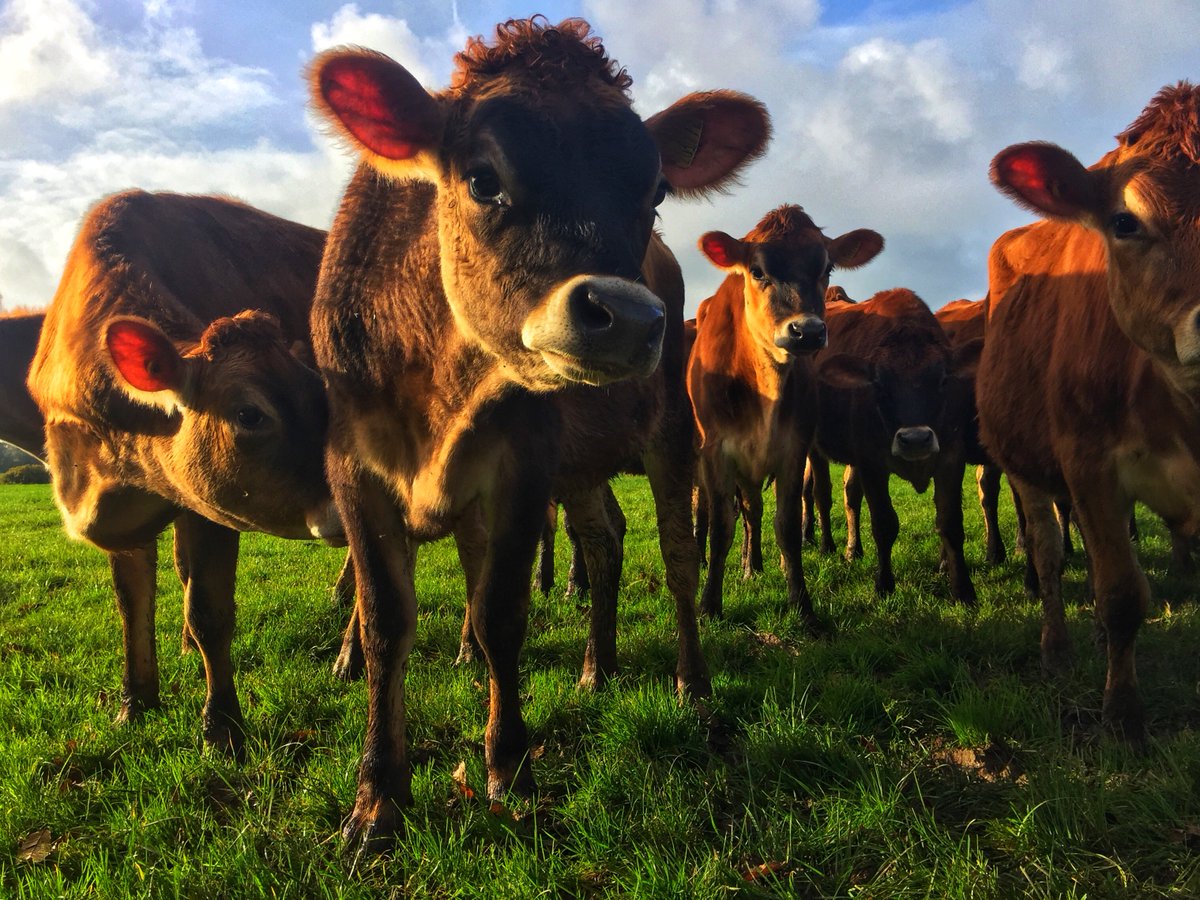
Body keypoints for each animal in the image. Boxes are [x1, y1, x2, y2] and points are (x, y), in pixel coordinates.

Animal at [28, 190, 335, 756]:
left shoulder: (210, 508)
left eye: (321, 394)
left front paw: (223, 725)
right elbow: (132, 604)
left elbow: (209, 611)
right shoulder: (127, 514)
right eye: (249, 414)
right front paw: (136, 702)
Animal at [307, 17, 771, 848]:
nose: (630, 317)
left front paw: (508, 766)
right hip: (580, 467)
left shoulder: (523, 463)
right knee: (605, 539)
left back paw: (691, 681)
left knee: (679, 556)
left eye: (655, 190)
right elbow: (386, 618)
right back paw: (598, 665)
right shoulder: (352, 465)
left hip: (669, 434)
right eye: (483, 179)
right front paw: (377, 796)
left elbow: (500, 611)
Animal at [687, 205, 884, 622]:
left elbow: (788, 525)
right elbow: (721, 527)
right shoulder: (717, 451)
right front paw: (709, 604)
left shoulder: (794, 448)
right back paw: (750, 566)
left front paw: (801, 603)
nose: (807, 331)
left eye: (827, 267)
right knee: (747, 511)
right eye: (757, 271)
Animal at [808, 288, 979, 605]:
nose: (915, 439)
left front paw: (963, 590)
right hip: (815, 448)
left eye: (942, 380)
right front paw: (884, 585)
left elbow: (950, 523)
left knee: (851, 495)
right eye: (879, 385)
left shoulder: (952, 457)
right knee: (821, 494)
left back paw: (853, 549)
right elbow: (884, 524)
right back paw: (827, 545)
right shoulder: (872, 462)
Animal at [976, 82, 1200, 743]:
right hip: (1024, 462)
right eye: (1125, 222)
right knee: (1049, 554)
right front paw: (1122, 716)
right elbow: (1122, 593)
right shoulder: (1089, 464)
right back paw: (1058, 649)